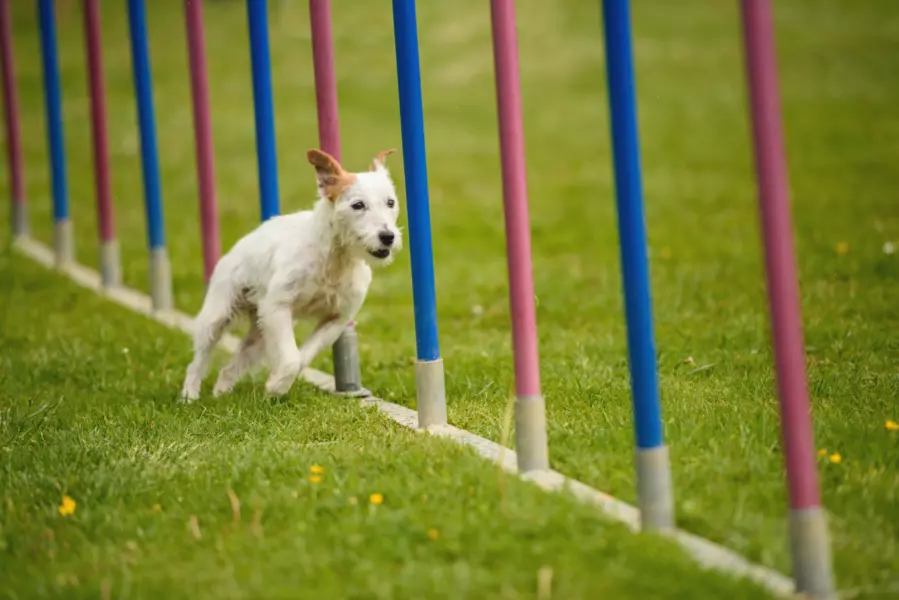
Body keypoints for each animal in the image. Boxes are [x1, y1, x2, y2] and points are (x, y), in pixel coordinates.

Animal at [181, 149, 402, 404]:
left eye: (390, 202)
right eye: (358, 205)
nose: (388, 236)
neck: (335, 260)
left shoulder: (336, 320)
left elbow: (301, 358)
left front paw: (275, 383)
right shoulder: (278, 307)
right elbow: (291, 358)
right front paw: (277, 387)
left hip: (260, 334)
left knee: (230, 367)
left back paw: (221, 393)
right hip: (217, 317)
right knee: (199, 359)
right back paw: (189, 395)